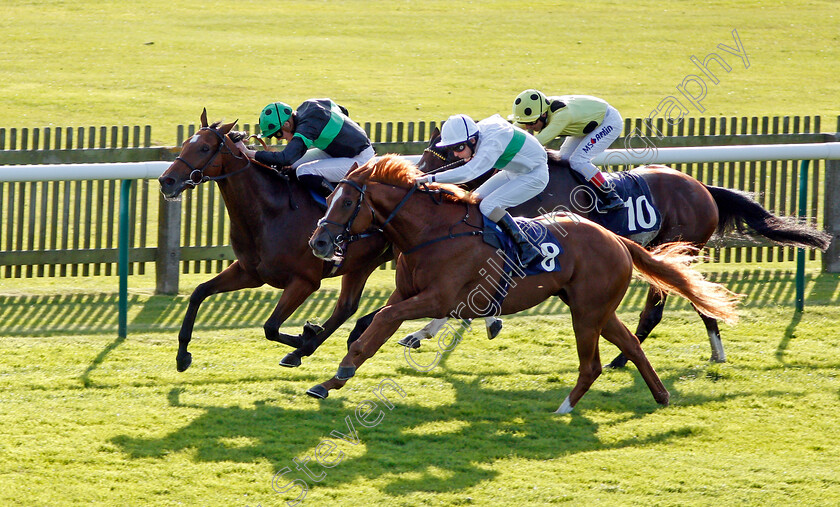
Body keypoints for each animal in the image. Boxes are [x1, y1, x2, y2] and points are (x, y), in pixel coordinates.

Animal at [158, 110, 394, 374]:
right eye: (186, 143)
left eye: (205, 148)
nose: (166, 181)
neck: (270, 213)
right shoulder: (249, 273)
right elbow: (199, 292)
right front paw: (182, 355)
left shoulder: (305, 281)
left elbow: (270, 327)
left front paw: (306, 334)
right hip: (364, 263)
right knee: (347, 307)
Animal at [308, 156, 740, 412]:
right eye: (329, 198)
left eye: (347, 202)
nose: (319, 242)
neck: (432, 232)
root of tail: (617, 239)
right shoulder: (407, 293)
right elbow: (374, 324)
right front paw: (329, 378)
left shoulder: (436, 298)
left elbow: (381, 322)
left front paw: (338, 373)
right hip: (595, 308)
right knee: (631, 343)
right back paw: (661, 396)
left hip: (587, 312)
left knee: (594, 362)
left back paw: (565, 407)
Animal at [378, 129, 828, 368]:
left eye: (438, 152)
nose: (415, 173)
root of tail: (702, 187)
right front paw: (423, 331)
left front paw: (435, 328)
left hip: (679, 247)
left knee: (662, 307)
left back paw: (635, 357)